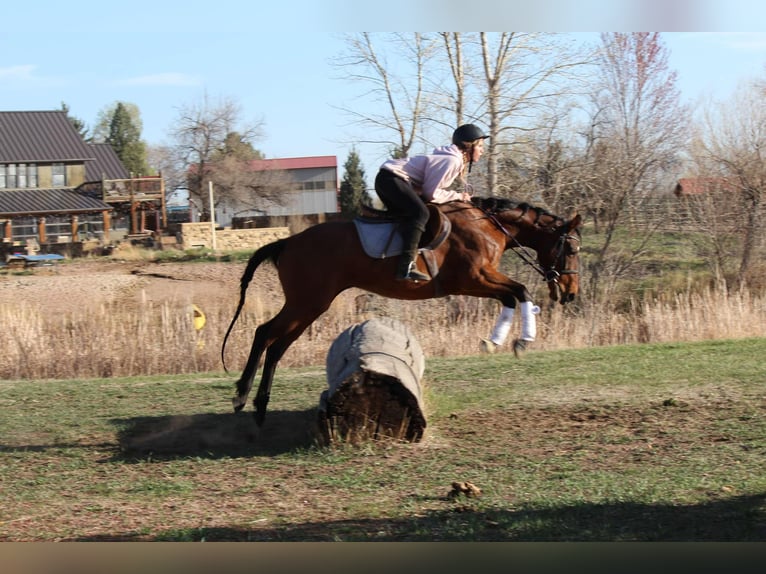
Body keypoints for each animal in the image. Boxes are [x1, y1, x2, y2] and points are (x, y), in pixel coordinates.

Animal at [222, 196, 583, 426]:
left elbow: (511, 297)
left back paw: (260, 407)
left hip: (311, 305)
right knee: (264, 334)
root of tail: (288, 242)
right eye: (572, 248)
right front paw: (522, 341)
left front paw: (495, 342)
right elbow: (520, 291)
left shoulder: (479, 281)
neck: (488, 228)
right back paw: (242, 397)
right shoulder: (472, 279)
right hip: (307, 301)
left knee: (277, 346)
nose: (570, 294)